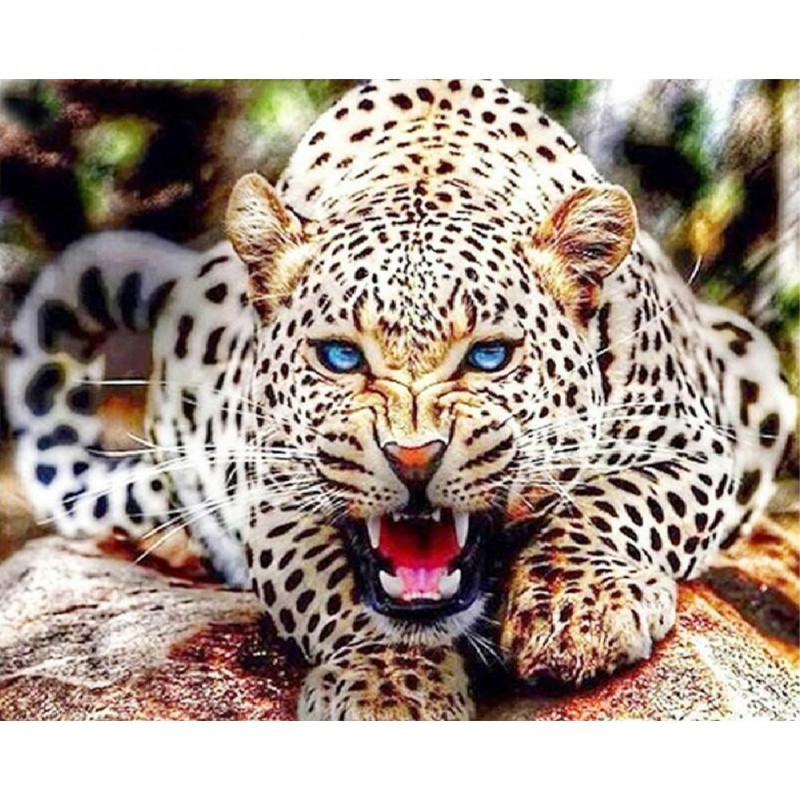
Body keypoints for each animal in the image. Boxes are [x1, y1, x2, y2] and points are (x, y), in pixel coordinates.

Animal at [4, 79, 795, 720]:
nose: (413, 458)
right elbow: (337, 587)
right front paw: (387, 685)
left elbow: (616, 503)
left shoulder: (692, 440)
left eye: (489, 356)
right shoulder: (270, 489)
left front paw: (580, 614)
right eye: (340, 357)